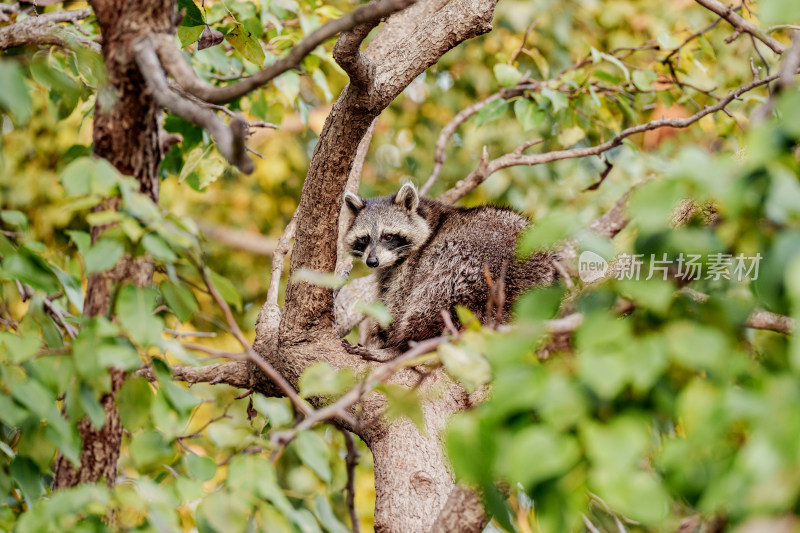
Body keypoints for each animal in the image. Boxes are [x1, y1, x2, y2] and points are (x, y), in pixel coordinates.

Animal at [342, 183, 556, 354]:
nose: (372, 261)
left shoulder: (412, 265)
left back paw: (403, 346)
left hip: (472, 261)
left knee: (435, 298)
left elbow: (397, 304)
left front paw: (384, 337)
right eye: (364, 239)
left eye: (388, 236)